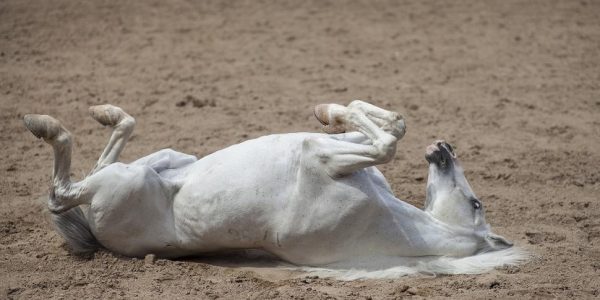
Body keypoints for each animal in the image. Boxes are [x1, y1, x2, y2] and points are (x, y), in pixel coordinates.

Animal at [22, 101, 524, 278]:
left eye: (476, 202)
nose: (443, 149)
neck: (393, 222)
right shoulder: (335, 151)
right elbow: (390, 128)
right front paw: (330, 109)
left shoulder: (323, 158)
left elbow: (386, 143)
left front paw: (334, 110)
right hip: (164, 159)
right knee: (108, 149)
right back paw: (103, 112)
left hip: (125, 182)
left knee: (62, 192)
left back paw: (43, 124)